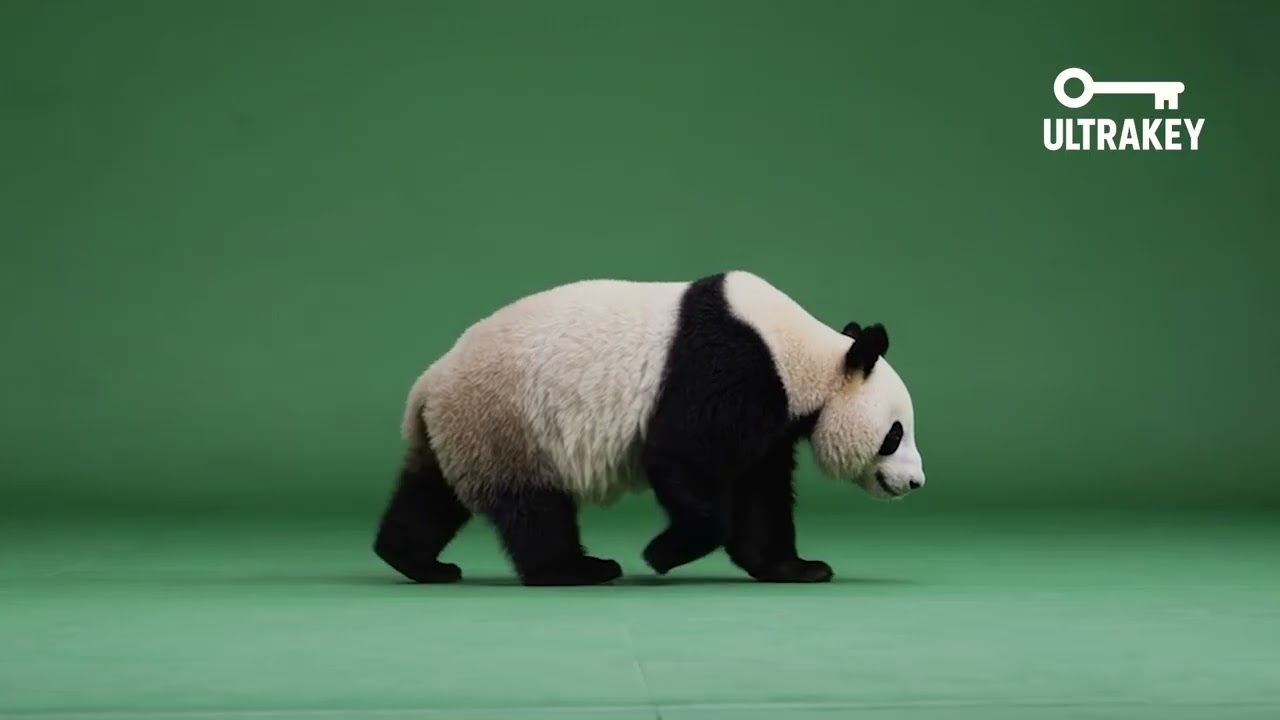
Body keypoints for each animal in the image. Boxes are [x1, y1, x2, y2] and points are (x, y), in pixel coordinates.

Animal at [373, 270, 924, 586]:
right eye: (895, 434)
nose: (916, 482)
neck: (801, 351)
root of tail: (428, 382)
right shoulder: (731, 368)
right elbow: (680, 454)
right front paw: (662, 554)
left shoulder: (772, 415)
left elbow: (758, 488)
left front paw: (796, 568)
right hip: (508, 418)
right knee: (532, 506)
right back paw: (576, 570)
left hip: (465, 429)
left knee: (432, 493)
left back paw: (416, 562)